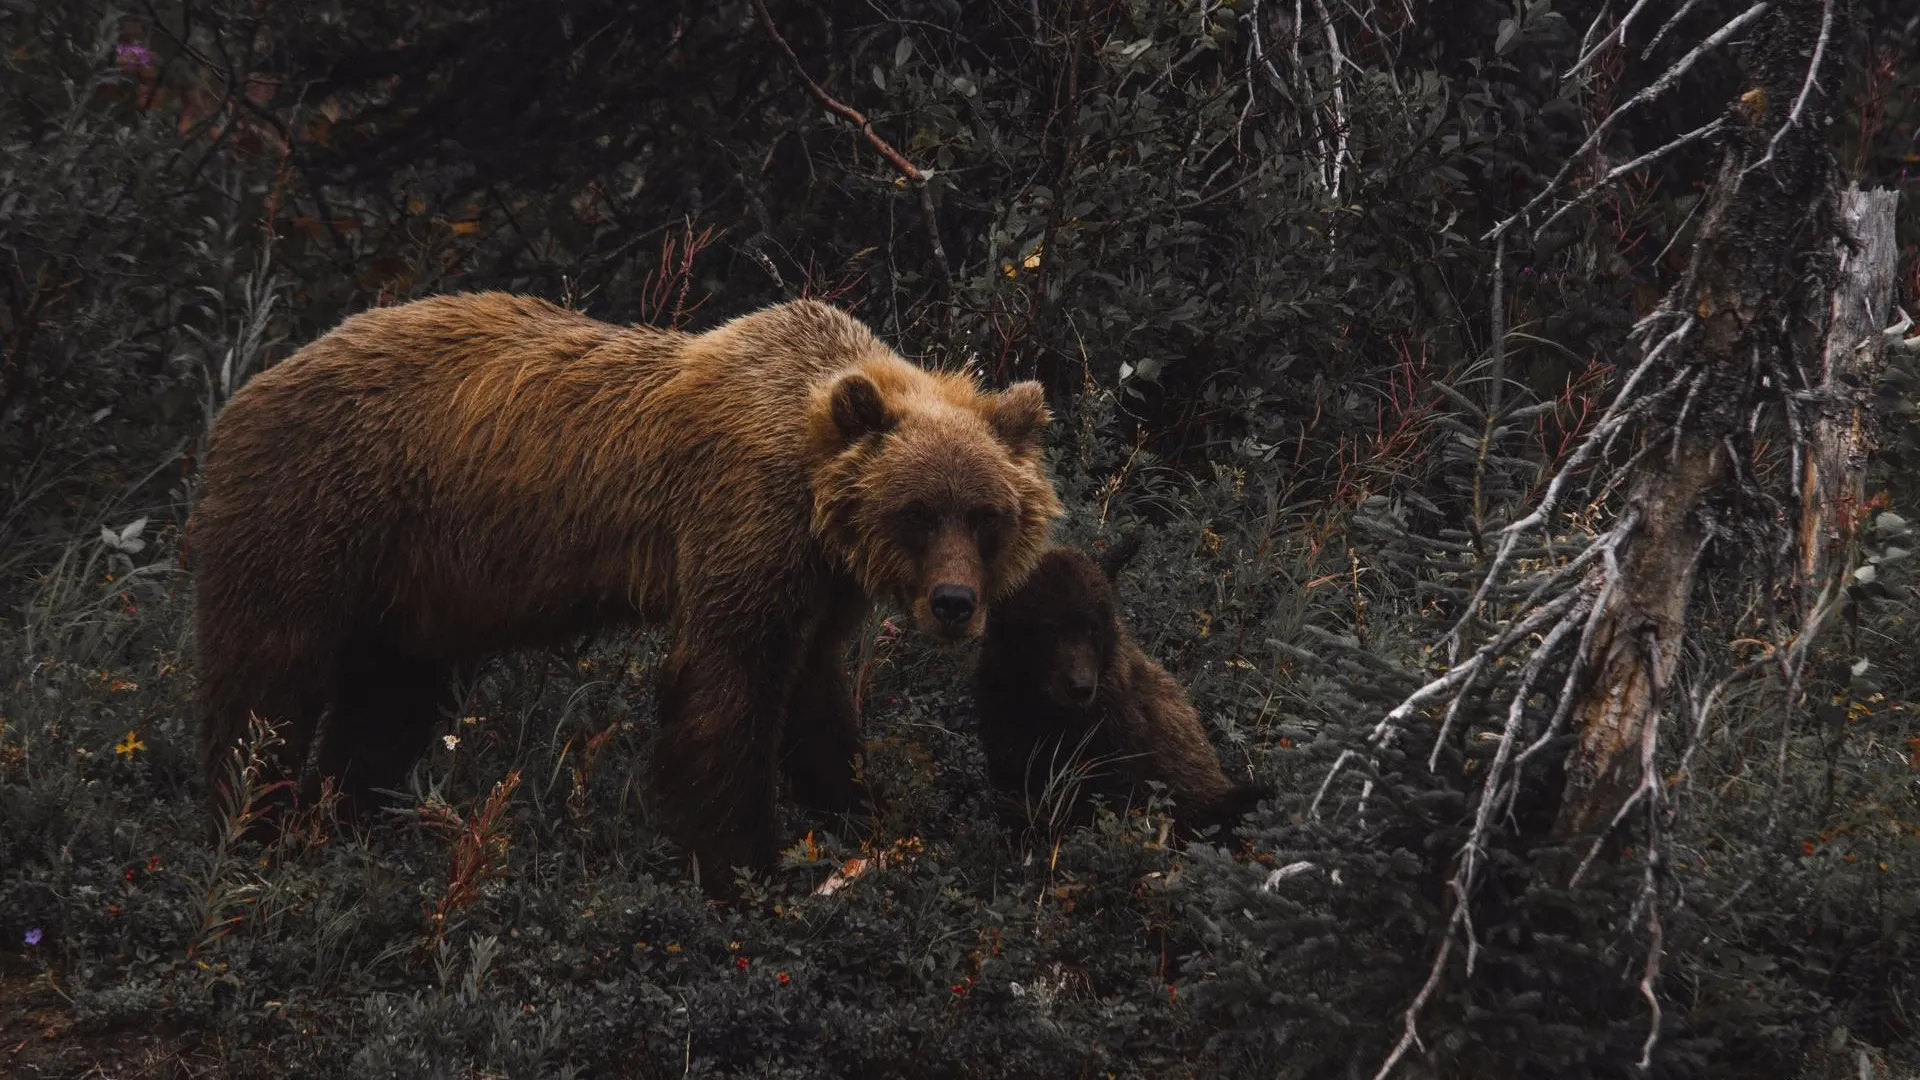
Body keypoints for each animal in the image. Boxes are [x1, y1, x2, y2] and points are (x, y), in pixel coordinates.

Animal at [191, 292, 1067, 891]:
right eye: (915, 511)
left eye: (985, 514)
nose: (954, 604)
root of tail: (247, 388)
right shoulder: (739, 522)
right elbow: (722, 691)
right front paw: (745, 870)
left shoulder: (817, 584)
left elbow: (813, 701)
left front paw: (868, 817)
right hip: (318, 512)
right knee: (268, 682)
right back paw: (249, 825)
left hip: (411, 589)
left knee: (387, 704)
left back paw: (338, 821)